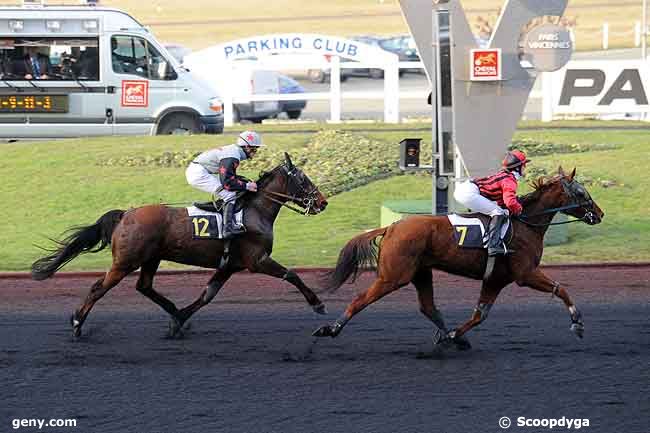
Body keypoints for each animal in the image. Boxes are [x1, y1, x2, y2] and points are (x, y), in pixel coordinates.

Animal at [31, 152, 330, 338]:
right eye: (303, 178)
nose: (323, 202)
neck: (253, 211)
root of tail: (125, 214)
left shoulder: (230, 265)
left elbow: (208, 295)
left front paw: (180, 320)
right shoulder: (256, 260)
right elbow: (291, 274)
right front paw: (317, 304)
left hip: (151, 258)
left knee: (144, 286)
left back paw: (173, 311)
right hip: (126, 261)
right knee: (98, 288)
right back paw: (77, 323)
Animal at [314, 167, 604, 350]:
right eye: (581, 192)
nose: (600, 214)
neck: (526, 223)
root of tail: (392, 227)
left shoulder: (495, 279)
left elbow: (480, 315)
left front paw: (453, 336)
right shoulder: (525, 274)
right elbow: (561, 288)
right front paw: (578, 323)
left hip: (421, 273)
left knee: (428, 307)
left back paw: (451, 336)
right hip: (393, 276)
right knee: (361, 299)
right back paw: (331, 329)